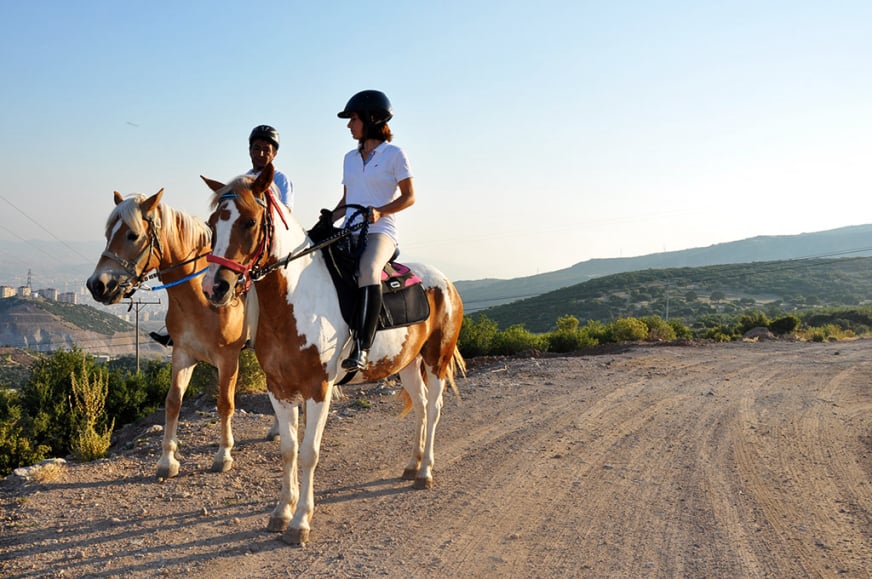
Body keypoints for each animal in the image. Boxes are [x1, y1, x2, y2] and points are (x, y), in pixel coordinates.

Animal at [86, 189, 275, 479]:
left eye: (133, 235)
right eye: (108, 233)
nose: (97, 285)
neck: (200, 297)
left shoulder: (228, 359)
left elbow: (225, 403)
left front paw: (223, 455)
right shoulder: (183, 354)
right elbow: (173, 401)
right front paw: (167, 460)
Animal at [200, 164, 465, 545]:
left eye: (249, 221)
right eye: (211, 223)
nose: (214, 288)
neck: (296, 299)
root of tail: (446, 282)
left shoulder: (318, 389)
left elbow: (310, 453)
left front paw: (300, 522)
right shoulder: (279, 389)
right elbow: (288, 450)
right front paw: (281, 512)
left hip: (436, 360)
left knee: (435, 407)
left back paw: (425, 471)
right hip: (408, 364)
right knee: (421, 405)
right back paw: (413, 465)